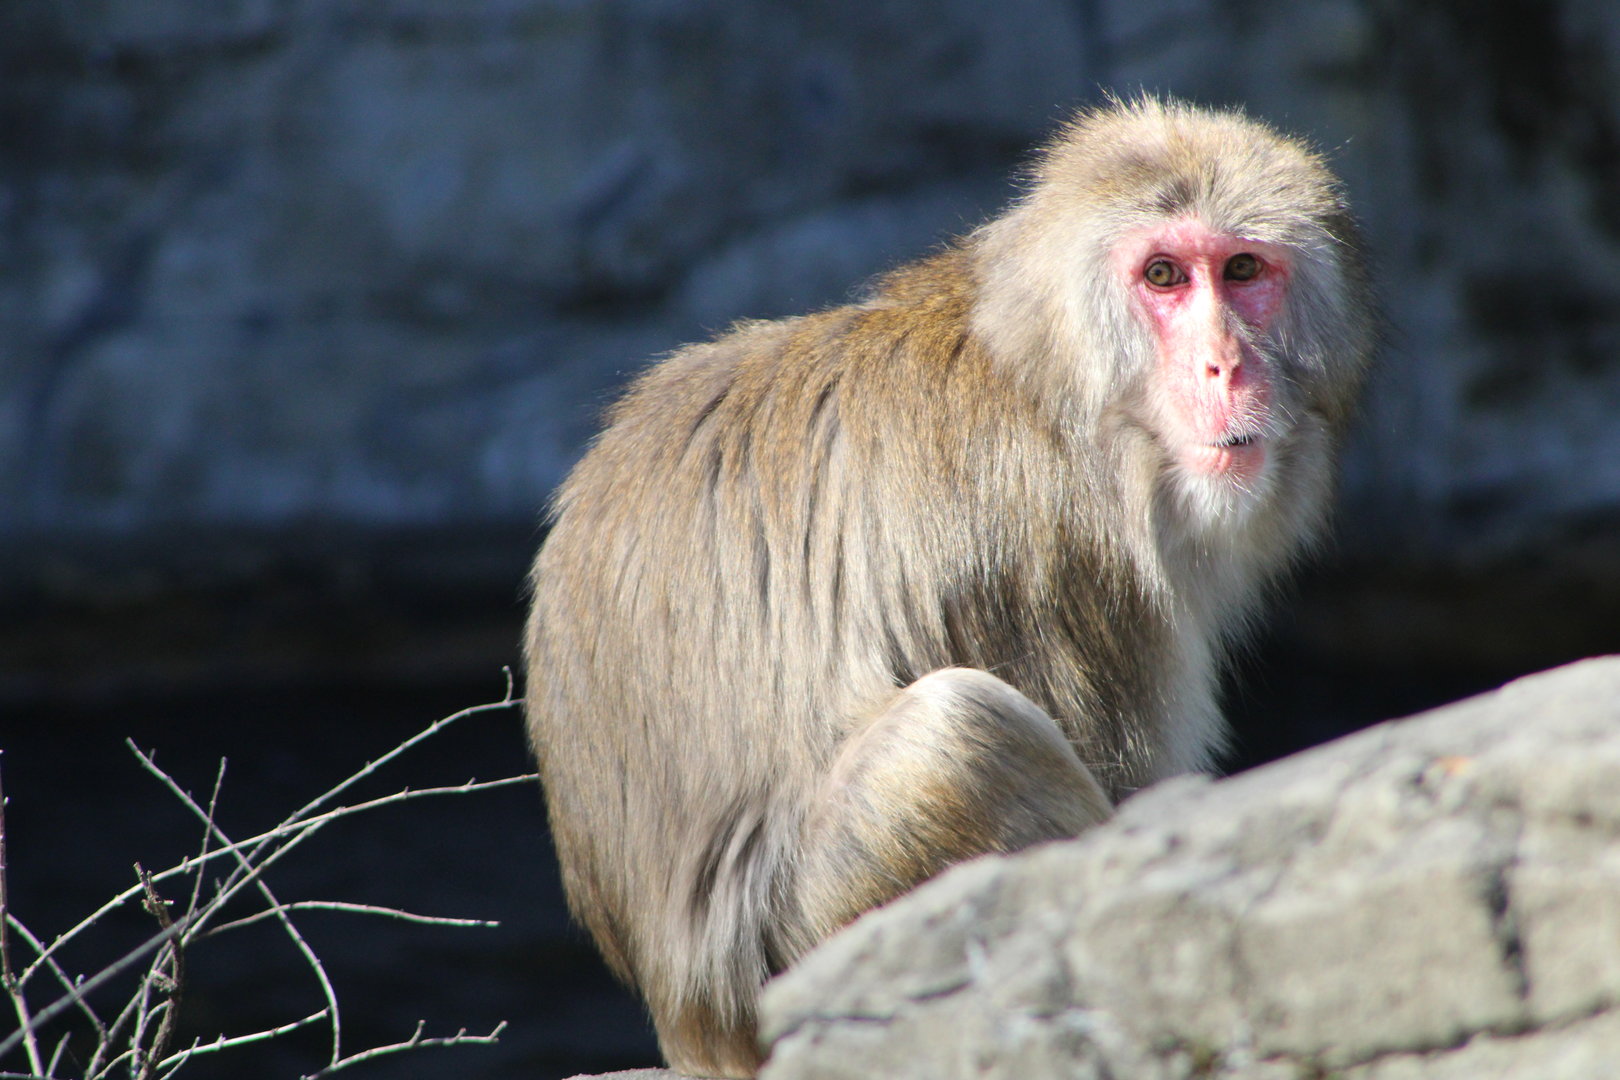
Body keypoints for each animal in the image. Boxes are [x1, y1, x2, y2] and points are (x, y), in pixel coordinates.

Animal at [524, 96, 1373, 1078]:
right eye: (1163, 276)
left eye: (1241, 271)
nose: (1226, 366)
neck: (1049, 388)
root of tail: (687, 1024)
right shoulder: (1059, 556)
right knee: (954, 738)